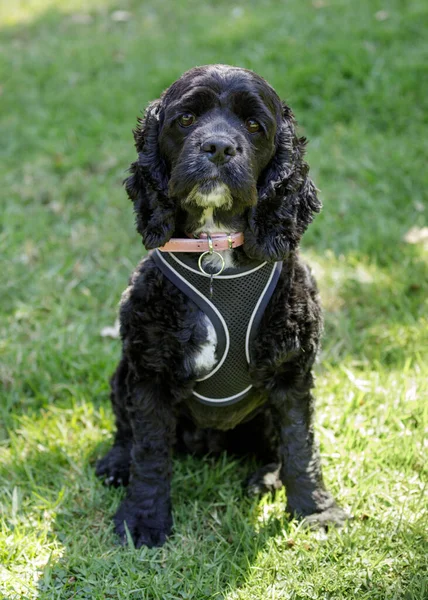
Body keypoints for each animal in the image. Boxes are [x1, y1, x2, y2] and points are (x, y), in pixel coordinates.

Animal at [96, 65, 348, 548]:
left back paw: (266, 478)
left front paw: (314, 511)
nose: (218, 147)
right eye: (186, 119)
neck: (215, 252)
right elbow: (149, 453)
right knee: (125, 431)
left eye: (254, 125)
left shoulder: (291, 372)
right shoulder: (150, 373)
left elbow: (300, 444)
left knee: (274, 449)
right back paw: (116, 464)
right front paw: (143, 521)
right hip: (123, 372)